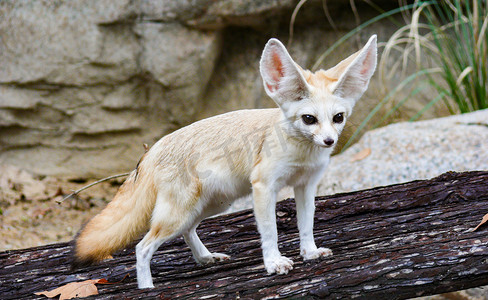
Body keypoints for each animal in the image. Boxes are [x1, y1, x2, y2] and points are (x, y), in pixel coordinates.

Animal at [73, 34, 378, 288]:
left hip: (213, 205)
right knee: (142, 247)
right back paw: (147, 287)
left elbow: (306, 225)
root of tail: (155, 147)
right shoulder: (263, 186)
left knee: (188, 231)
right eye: (309, 119)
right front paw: (273, 262)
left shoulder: (306, 186)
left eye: (338, 118)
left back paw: (204, 258)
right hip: (180, 212)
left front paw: (310, 252)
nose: (329, 141)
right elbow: (270, 231)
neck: (302, 153)